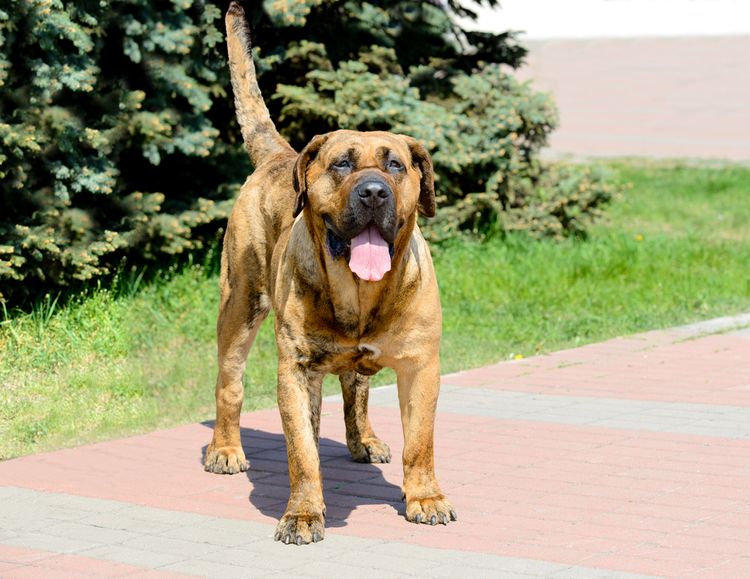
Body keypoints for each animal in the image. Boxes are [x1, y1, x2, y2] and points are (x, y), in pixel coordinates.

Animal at [203, 2, 456, 544]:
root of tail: (283, 154)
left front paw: (425, 498)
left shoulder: (421, 365)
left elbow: (420, 442)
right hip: (239, 304)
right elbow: (302, 452)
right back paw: (225, 448)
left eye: (396, 166)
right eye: (342, 164)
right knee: (229, 382)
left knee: (355, 388)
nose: (374, 192)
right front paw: (302, 513)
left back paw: (366, 440)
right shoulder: (295, 370)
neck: (361, 294)